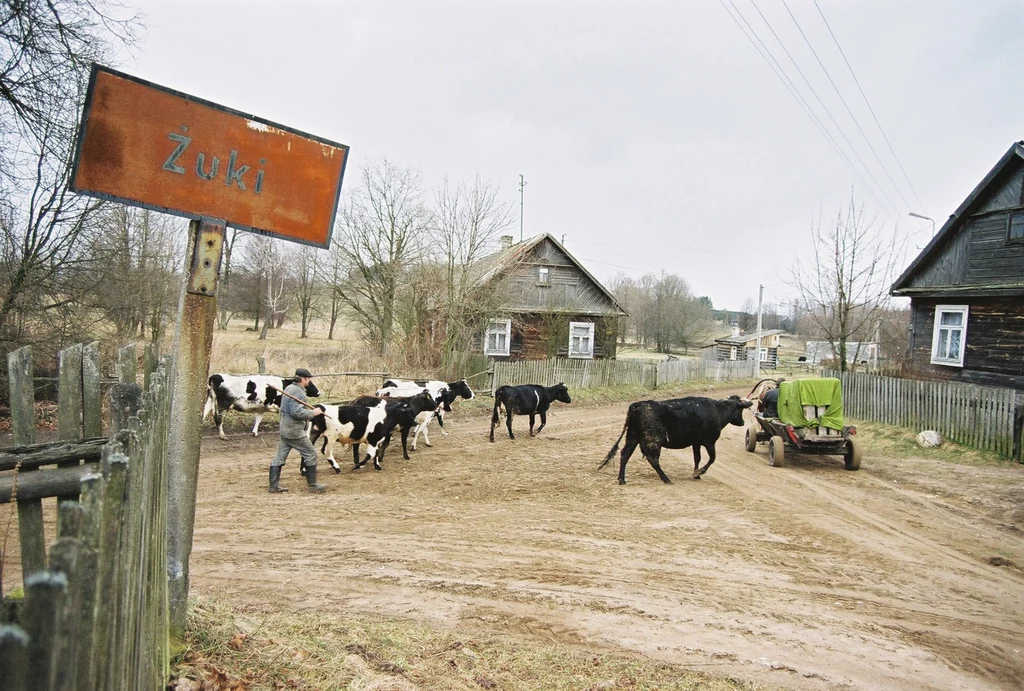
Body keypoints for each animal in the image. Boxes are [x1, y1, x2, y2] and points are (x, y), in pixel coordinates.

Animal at [598, 395, 757, 487]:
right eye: (740, 410)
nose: (742, 422)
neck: (718, 410)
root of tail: (636, 405)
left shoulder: (696, 442)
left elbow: (697, 458)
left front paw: (696, 474)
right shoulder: (709, 442)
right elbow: (712, 458)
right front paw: (698, 472)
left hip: (633, 437)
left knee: (625, 454)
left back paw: (622, 479)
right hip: (654, 440)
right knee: (652, 459)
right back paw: (666, 479)